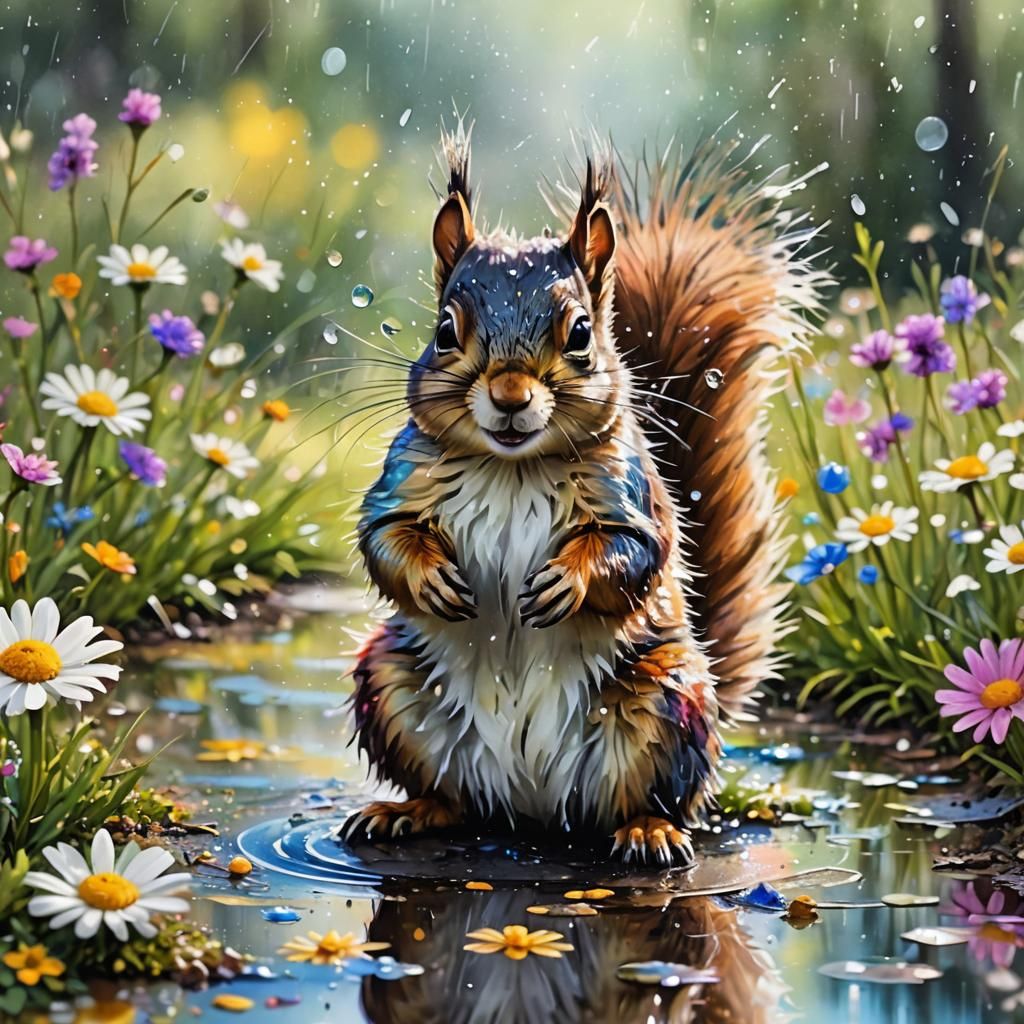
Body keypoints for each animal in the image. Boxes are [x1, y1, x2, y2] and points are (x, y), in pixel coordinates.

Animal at [343, 124, 826, 864]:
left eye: (579, 334)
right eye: (445, 331)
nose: (510, 397)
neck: (511, 467)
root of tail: (531, 806)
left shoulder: (631, 494)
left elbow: (634, 552)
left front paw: (564, 583)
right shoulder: (405, 475)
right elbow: (384, 537)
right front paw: (432, 581)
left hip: (667, 698)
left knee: (653, 798)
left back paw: (650, 829)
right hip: (391, 682)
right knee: (456, 800)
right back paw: (407, 810)